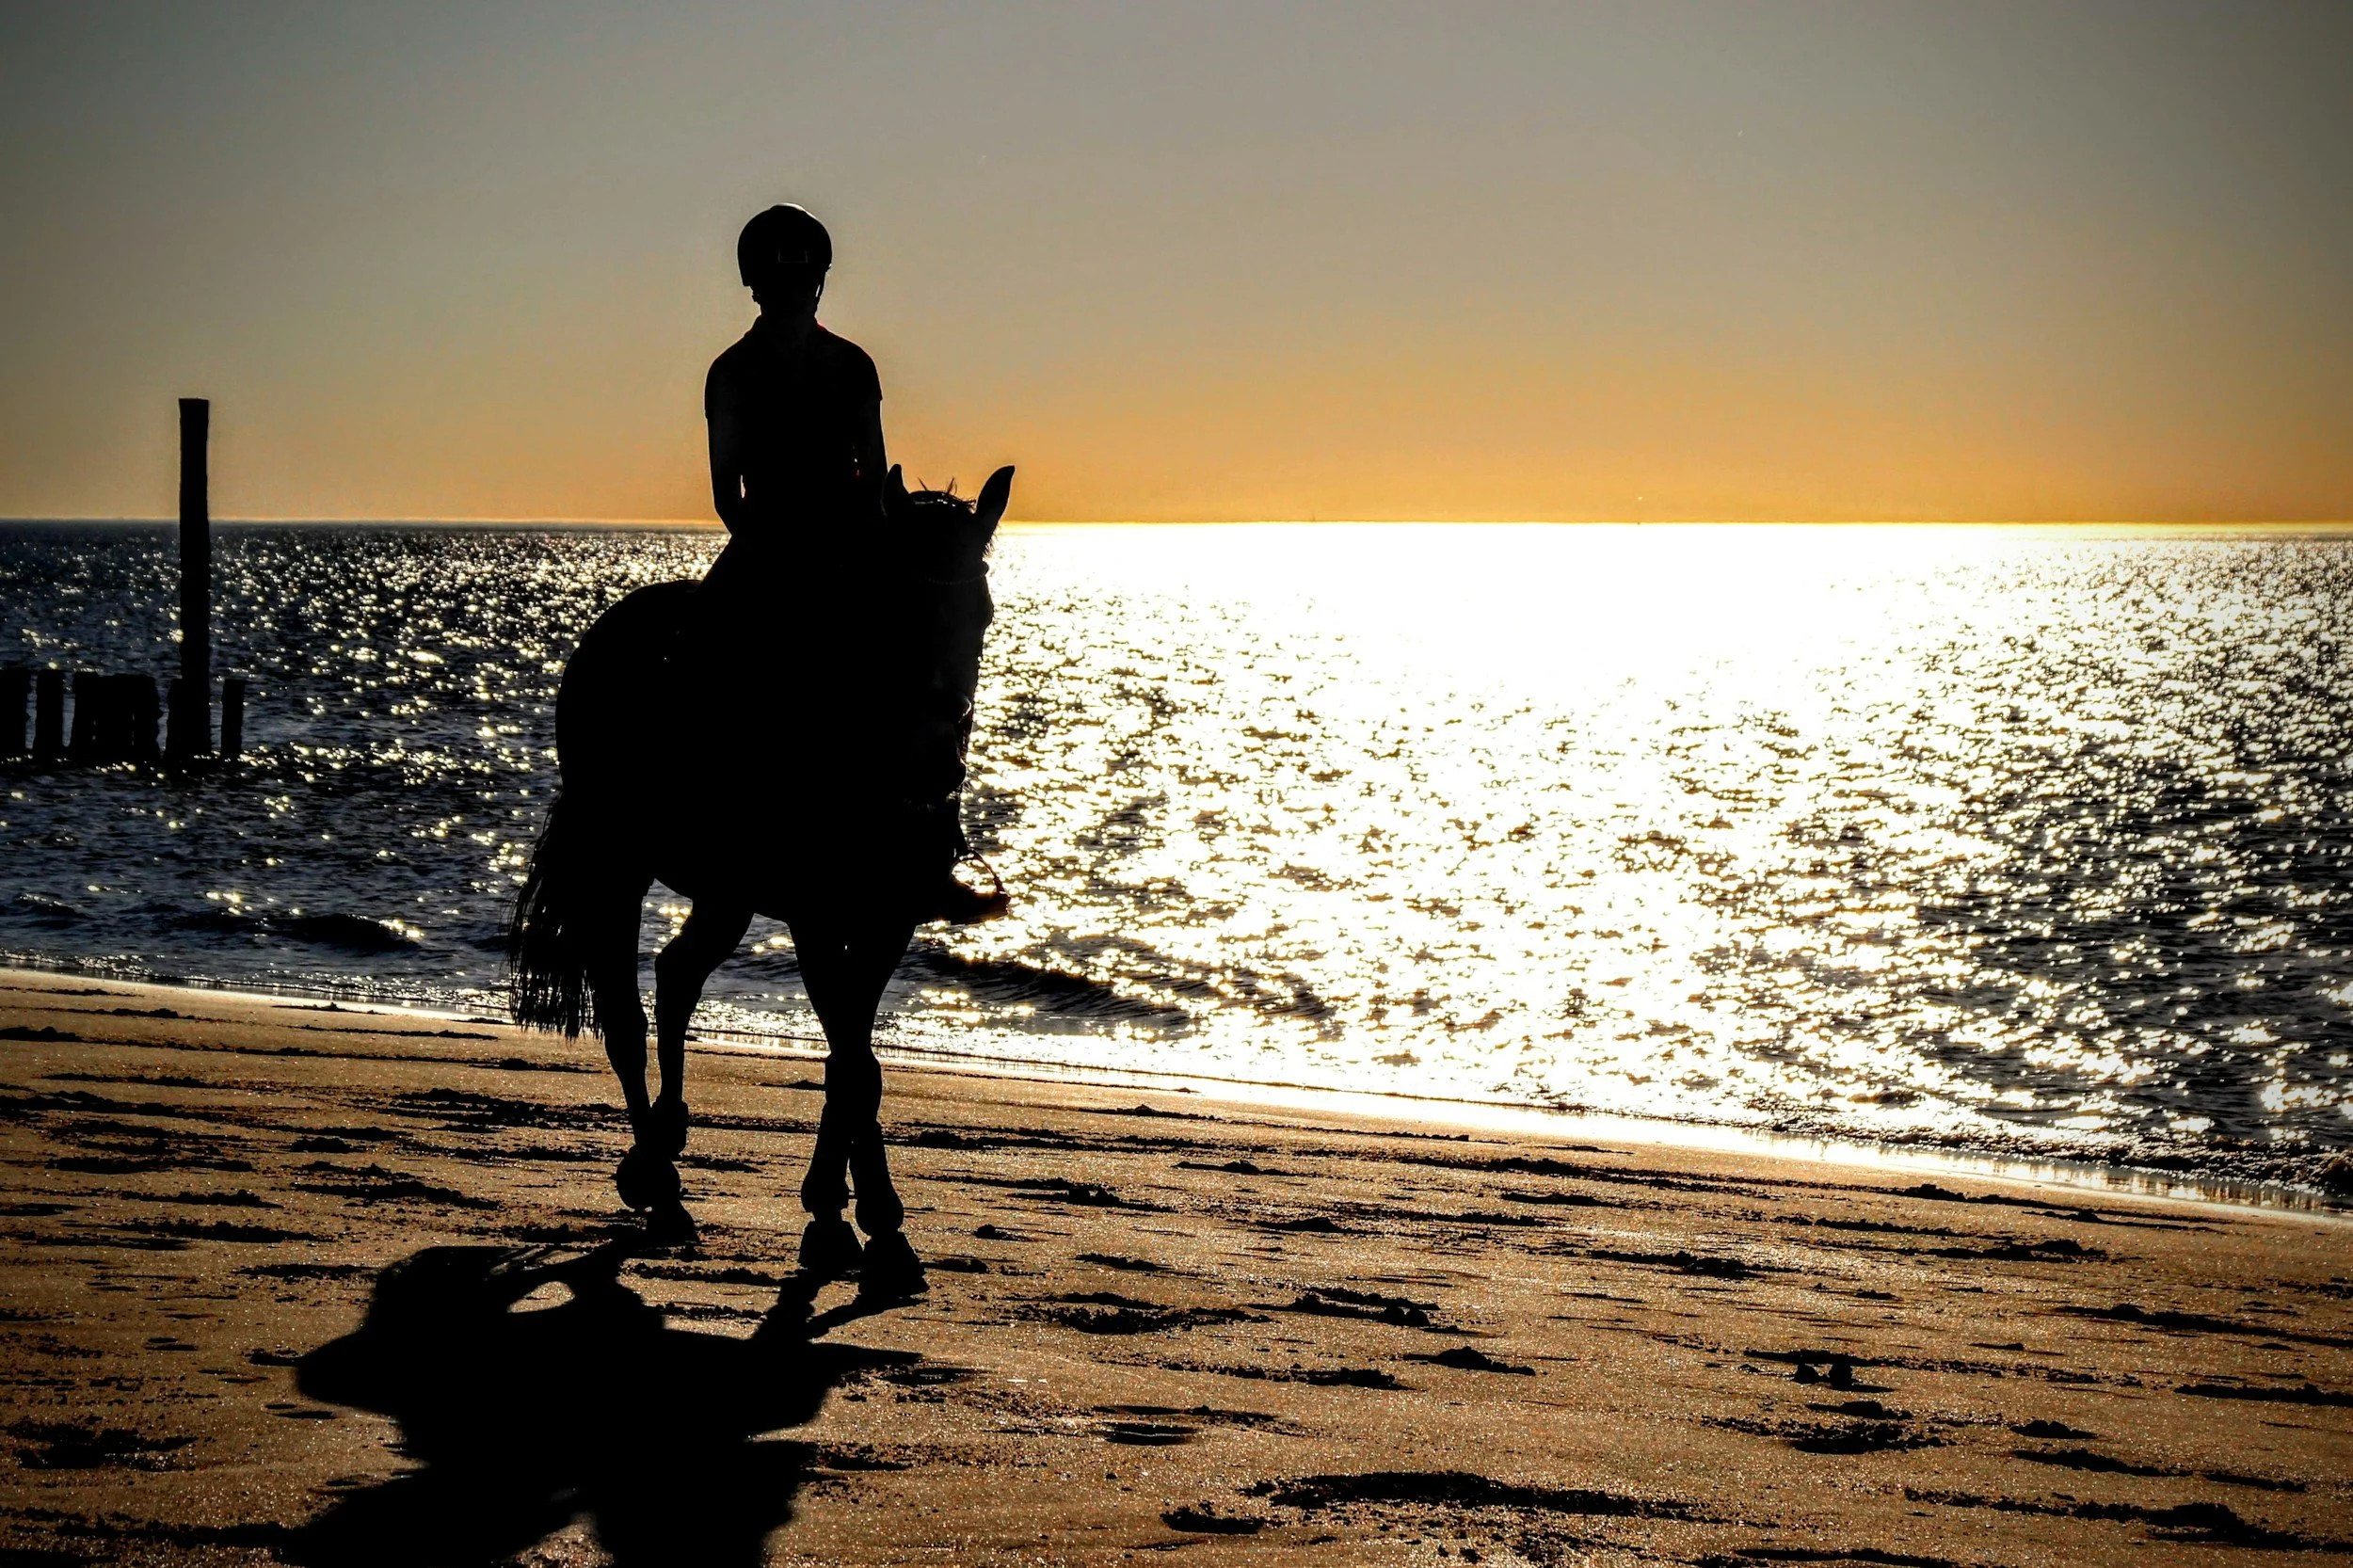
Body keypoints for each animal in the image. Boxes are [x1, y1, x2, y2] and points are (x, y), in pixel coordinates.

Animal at [505, 464, 1014, 1296]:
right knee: (625, 1019)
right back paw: (660, 1191)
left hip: (728, 892)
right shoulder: (816, 916)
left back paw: (665, 1144)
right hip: (619, 863)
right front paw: (857, 1223)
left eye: (983, 612)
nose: (936, 765)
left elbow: (853, 1061)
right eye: (894, 612)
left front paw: (851, 1219)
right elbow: (853, 1063)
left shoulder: (888, 917)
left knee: (677, 974)